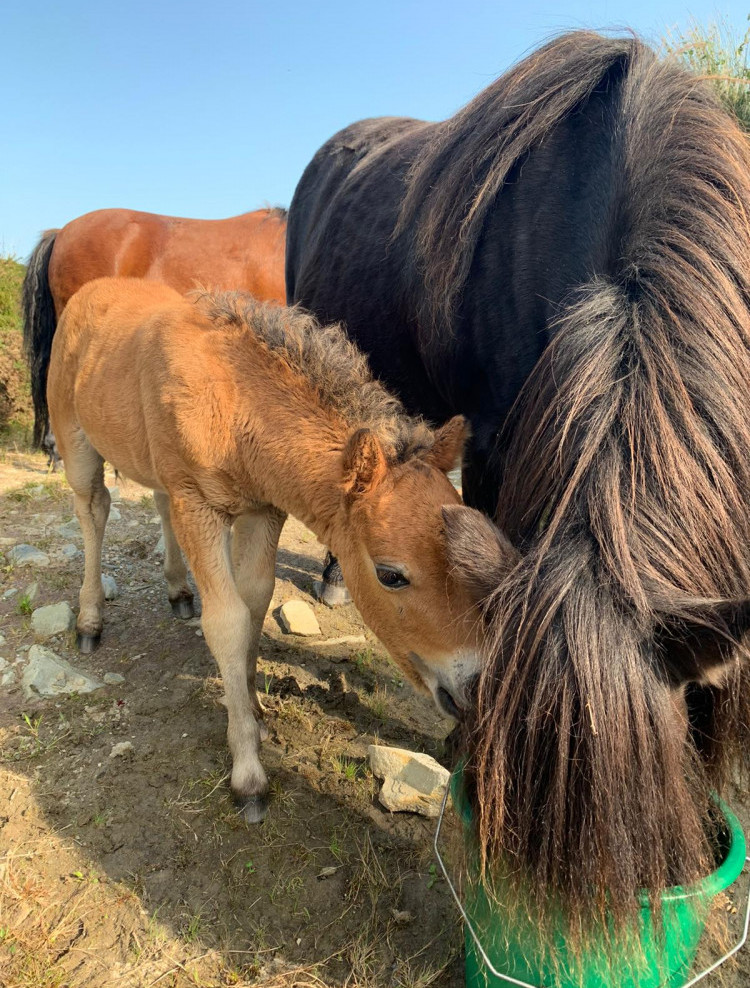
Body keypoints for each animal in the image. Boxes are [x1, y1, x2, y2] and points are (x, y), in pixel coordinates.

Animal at [35, 280, 516, 824]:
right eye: (391, 574)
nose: (478, 686)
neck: (232, 403)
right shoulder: (197, 505)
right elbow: (227, 622)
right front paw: (248, 772)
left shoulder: (263, 510)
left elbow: (256, 602)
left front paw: (255, 711)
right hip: (74, 437)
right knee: (93, 509)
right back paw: (90, 621)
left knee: (155, 502)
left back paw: (179, 591)